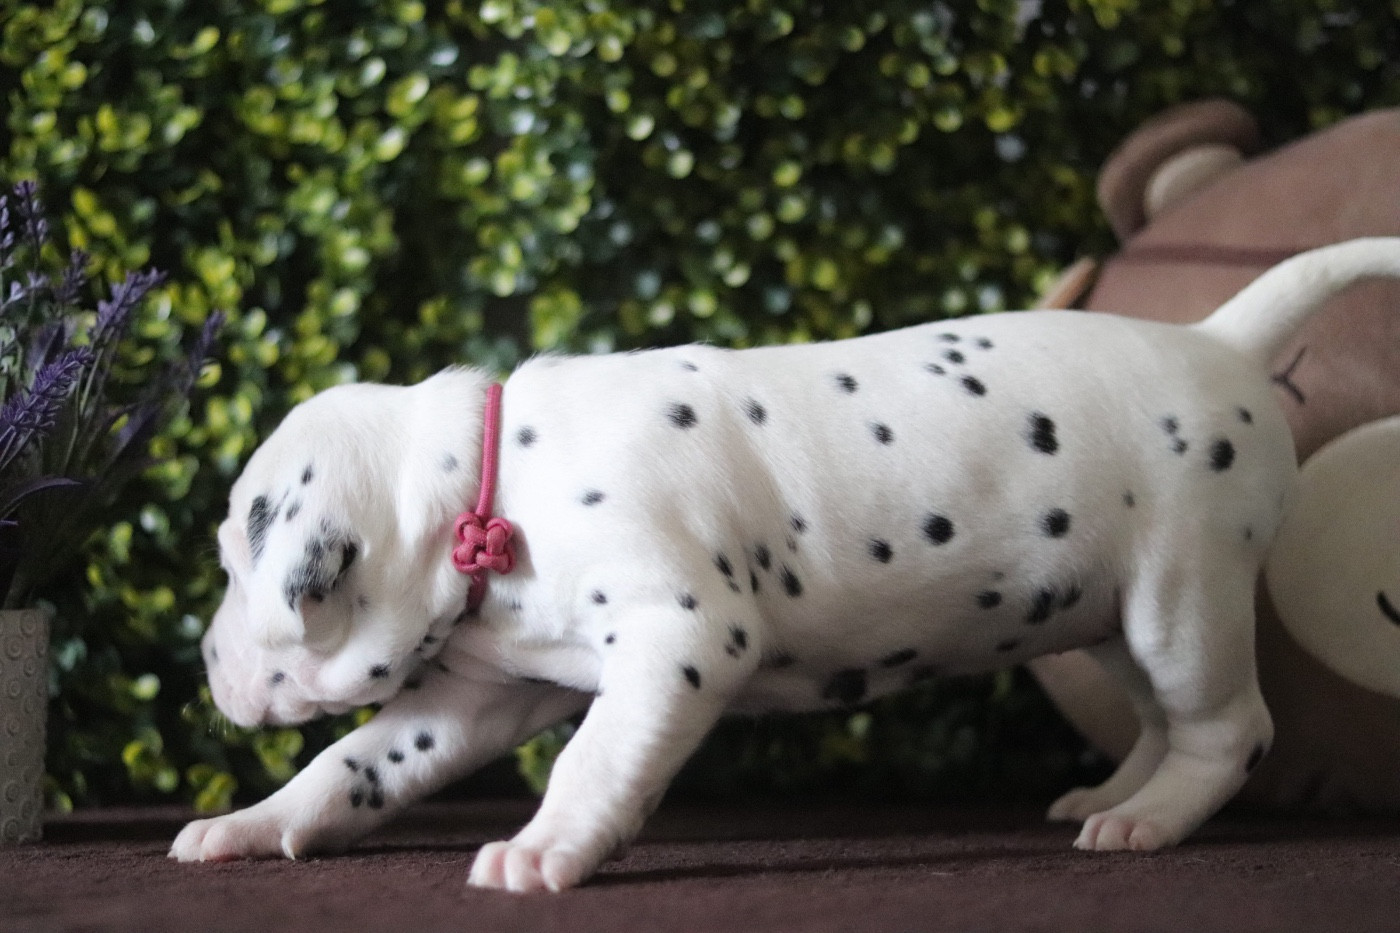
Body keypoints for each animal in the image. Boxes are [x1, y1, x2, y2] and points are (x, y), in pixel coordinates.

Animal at [171, 239, 1400, 892]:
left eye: (234, 564)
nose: (202, 663)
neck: (496, 480)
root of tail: (1220, 339)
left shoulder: (679, 638)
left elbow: (593, 761)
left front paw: (544, 847)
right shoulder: (472, 698)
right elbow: (350, 768)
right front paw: (250, 825)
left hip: (1180, 600)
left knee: (1228, 728)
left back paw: (1152, 820)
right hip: (1111, 619)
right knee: (1159, 719)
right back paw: (1117, 793)